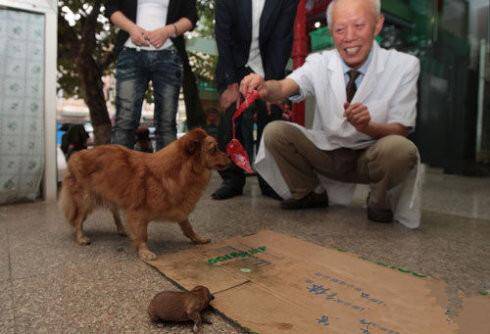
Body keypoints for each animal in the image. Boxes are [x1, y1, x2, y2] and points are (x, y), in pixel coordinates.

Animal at [59, 128, 230, 260]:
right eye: (214, 149)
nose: (230, 157)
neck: (175, 171)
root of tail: (78, 154)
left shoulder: (178, 209)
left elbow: (188, 227)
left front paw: (197, 239)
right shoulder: (138, 213)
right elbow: (142, 235)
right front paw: (144, 251)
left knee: (115, 212)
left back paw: (122, 229)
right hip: (85, 200)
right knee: (78, 220)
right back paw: (81, 237)